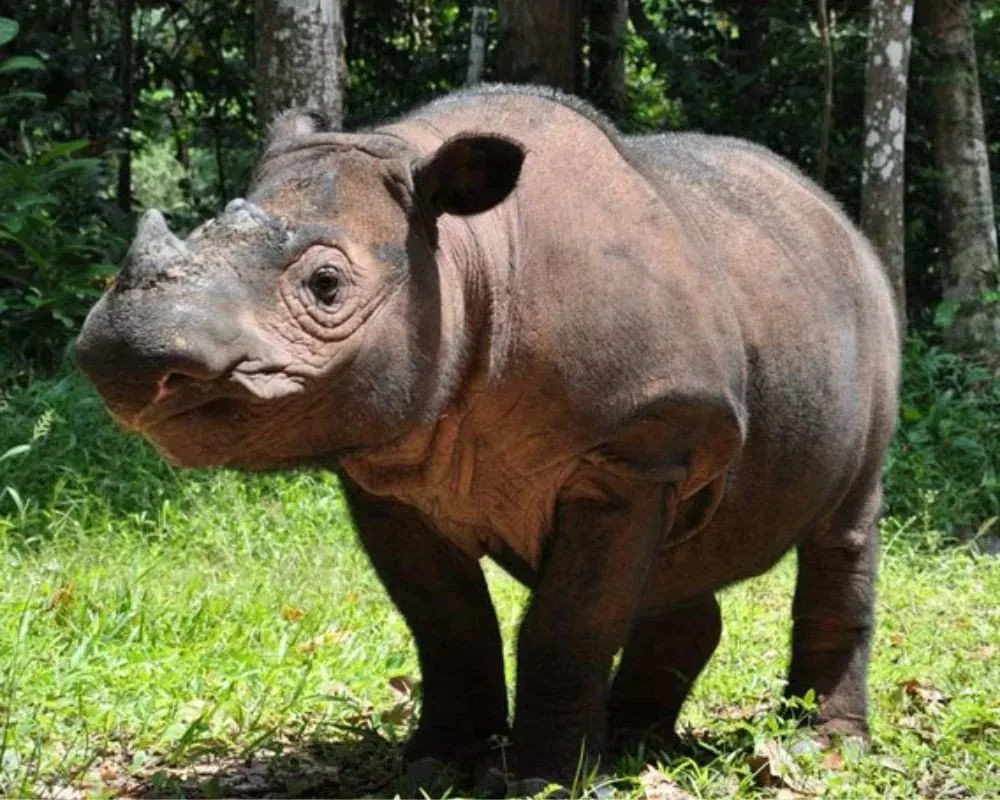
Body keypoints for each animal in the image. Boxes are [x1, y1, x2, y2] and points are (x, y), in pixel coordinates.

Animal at [76, 85, 900, 791]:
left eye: (327, 286)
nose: (127, 357)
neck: (466, 256)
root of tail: (835, 216)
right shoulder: (390, 467)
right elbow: (448, 623)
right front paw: (440, 766)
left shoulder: (633, 449)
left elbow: (571, 620)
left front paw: (546, 779)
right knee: (682, 561)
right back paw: (636, 743)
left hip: (870, 314)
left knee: (843, 526)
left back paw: (819, 749)